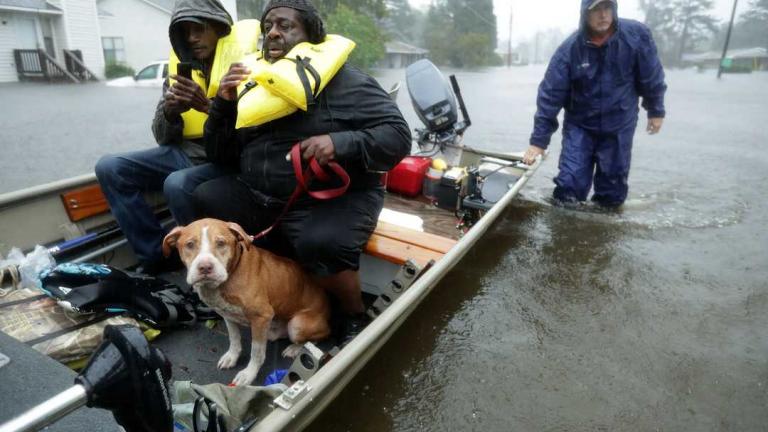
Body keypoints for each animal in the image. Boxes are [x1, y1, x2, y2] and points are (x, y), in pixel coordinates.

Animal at [162, 219, 330, 384]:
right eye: (190, 244)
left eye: (221, 243)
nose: (205, 267)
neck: (230, 275)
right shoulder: (227, 314)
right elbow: (234, 339)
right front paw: (231, 357)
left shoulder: (261, 316)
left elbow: (256, 352)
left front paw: (249, 374)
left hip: (297, 325)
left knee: (316, 339)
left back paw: (295, 349)